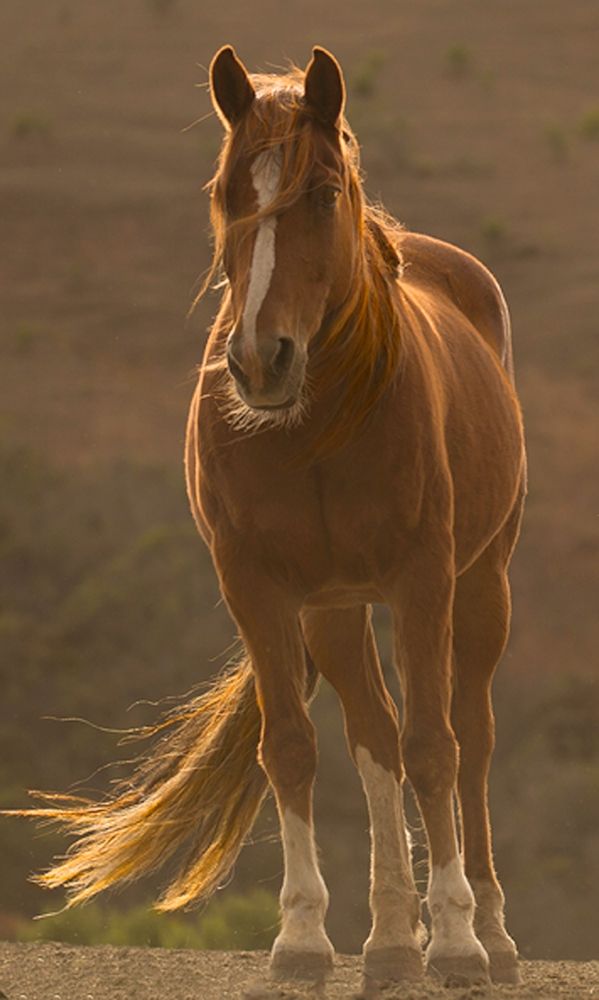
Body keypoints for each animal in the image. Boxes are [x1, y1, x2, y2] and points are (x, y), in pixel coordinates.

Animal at [9, 45, 524, 992]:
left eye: (321, 192)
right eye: (224, 190)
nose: (258, 361)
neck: (316, 427)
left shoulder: (422, 581)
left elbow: (434, 747)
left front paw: (457, 941)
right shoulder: (258, 587)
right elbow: (293, 747)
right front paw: (303, 939)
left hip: (479, 584)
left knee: (466, 736)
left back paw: (486, 935)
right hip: (335, 611)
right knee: (372, 736)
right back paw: (390, 941)